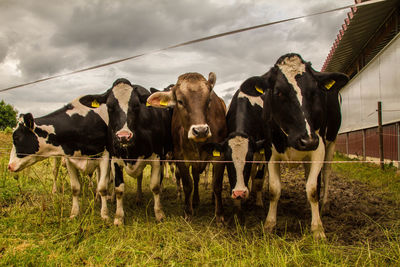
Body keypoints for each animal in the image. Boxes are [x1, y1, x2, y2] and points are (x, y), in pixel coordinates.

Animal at [78, 78, 172, 226]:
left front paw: (159, 214)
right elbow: (119, 189)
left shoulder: (157, 158)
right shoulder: (115, 160)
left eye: (136, 105)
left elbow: (155, 186)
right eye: (109, 106)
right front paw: (118, 217)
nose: (123, 136)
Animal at [148, 72, 228, 223]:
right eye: (180, 101)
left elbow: (217, 185)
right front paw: (188, 212)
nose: (201, 130)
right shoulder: (180, 157)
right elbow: (187, 184)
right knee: (195, 178)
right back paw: (195, 201)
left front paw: (220, 215)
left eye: (209, 99)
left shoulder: (220, 157)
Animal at [241, 53, 350, 240]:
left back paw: (325, 204)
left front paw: (317, 229)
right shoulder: (270, 151)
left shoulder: (319, 147)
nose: (307, 141)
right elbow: (274, 190)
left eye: (315, 91)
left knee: (326, 173)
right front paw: (269, 224)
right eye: (278, 92)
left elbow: (313, 189)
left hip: (331, 141)